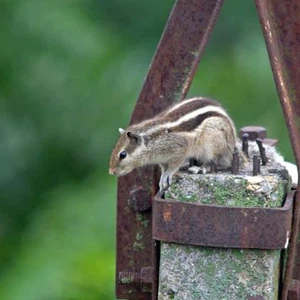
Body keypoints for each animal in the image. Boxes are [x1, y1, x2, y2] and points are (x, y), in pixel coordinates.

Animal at [109, 98, 238, 192]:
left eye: (123, 154)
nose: (111, 172)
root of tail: (232, 142)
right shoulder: (162, 160)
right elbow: (163, 168)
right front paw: (162, 177)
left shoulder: (180, 148)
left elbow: (173, 166)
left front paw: (168, 174)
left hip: (211, 142)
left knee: (213, 163)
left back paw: (200, 168)